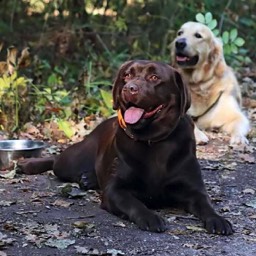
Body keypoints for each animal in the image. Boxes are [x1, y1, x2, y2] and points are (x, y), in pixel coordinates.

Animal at [19, 60, 233, 234]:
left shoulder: (194, 190)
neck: (153, 140)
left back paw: (88, 179)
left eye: (154, 77)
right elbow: (134, 203)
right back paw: (28, 164)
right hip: (72, 160)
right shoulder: (115, 190)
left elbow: (206, 205)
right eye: (127, 75)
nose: (129, 88)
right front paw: (150, 217)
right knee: (57, 160)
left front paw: (218, 219)